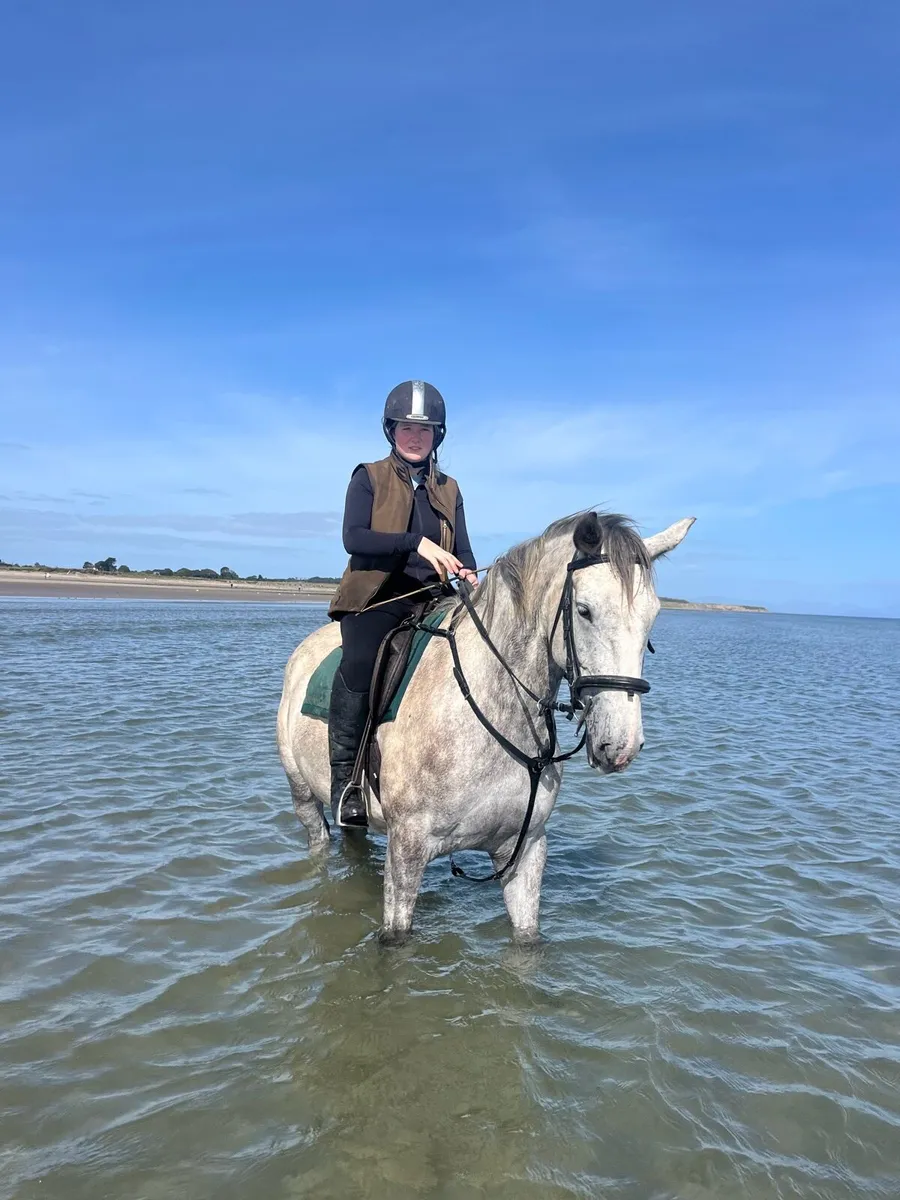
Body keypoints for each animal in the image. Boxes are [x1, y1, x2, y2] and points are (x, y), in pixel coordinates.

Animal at [276, 509, 694, 943]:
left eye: (653, 616)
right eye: (584, 610)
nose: (621, 745)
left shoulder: (524, 851)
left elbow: (527, 943)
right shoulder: (406, 852)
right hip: (303, 793)